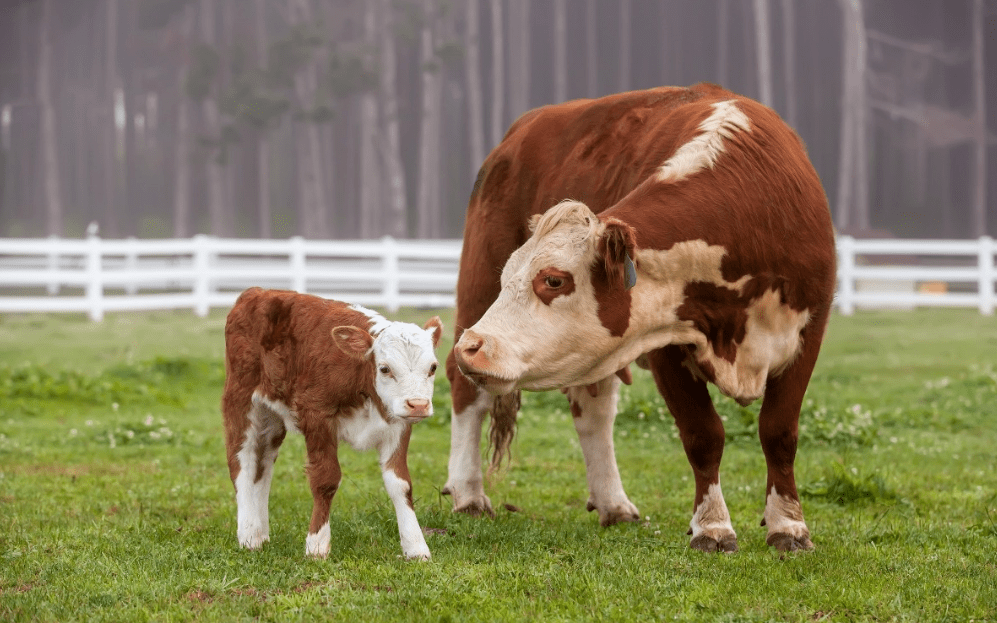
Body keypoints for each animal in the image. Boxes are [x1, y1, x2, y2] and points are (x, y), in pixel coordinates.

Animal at [228, 288, 446, 560]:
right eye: (385, 369)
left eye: (433, 367)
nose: (418, 404)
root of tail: (257, 291)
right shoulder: (316, 416)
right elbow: (326, 479)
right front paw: (317, 545)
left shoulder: (397, 424)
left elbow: (401, 484)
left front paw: (415, 547)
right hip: (242, 401)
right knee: (242, 462)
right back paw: (248, 535)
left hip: (272, 420)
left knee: (262, 466)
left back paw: (260, 533)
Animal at [448, 84, 836, 556]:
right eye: (509, 278)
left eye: (553, 279)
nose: (473, 346)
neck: (754, 212)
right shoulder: (665, 340)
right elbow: (703, 434)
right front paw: (713, 526)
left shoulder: (808, 335)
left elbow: (779, 432)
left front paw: (789, 525)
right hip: (475, 285)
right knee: (466, 390)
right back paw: (468, 493)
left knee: (593, 409)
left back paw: (613, 503)